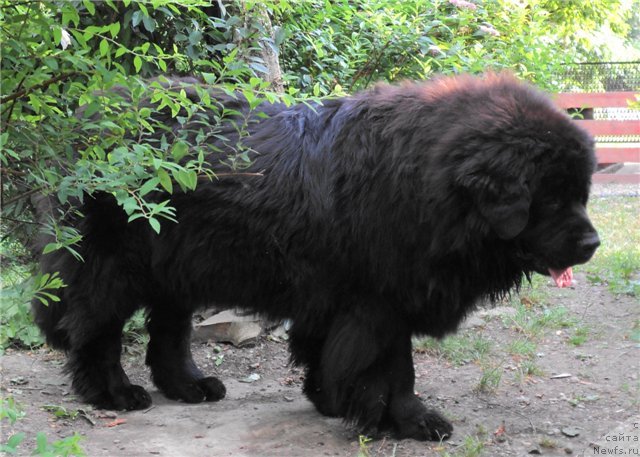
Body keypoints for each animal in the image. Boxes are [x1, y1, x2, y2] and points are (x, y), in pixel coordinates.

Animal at [31, 73, 600, 440]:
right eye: (551, 199)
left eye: (581, 194)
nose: (593, 244)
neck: (428, 185)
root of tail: (86, 114)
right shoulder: (379, 300)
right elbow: (397, 369)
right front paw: (409, 421)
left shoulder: (340, 298)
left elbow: (327, 352)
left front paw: (332, 402)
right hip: (114, 266)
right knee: (97, 329)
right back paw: (113, 393)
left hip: (180, 264)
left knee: (169, 331)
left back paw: (189, 386)